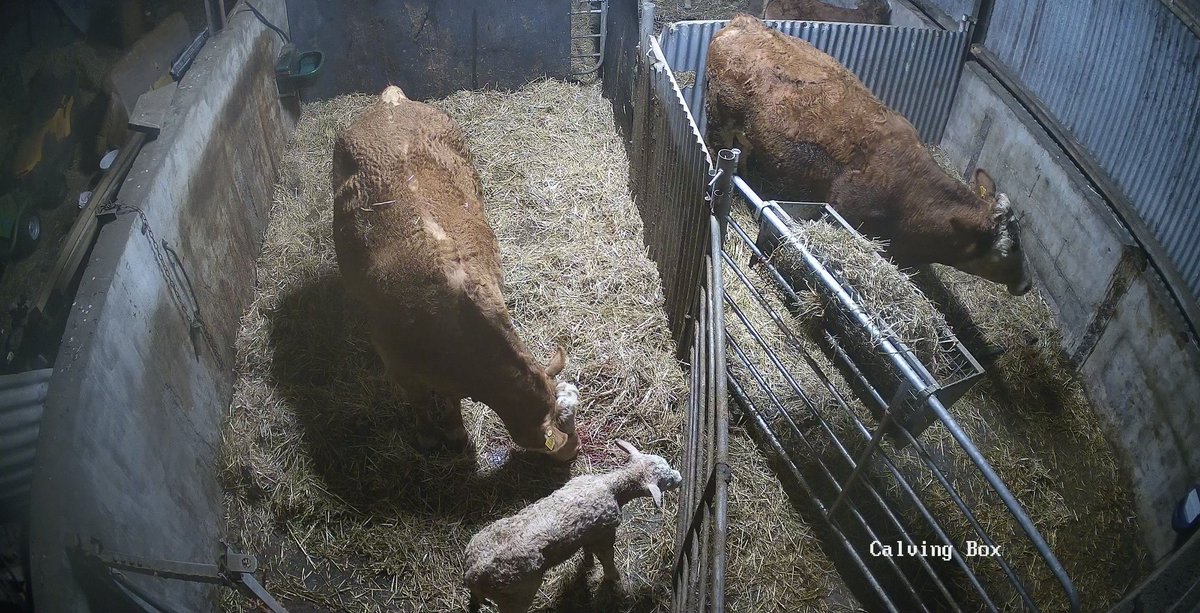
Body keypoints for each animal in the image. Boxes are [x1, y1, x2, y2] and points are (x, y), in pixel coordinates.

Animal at [332, 86, 580, 461]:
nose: (575, 451)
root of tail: (392, 100)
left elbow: (450, 399)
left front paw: (455, 430)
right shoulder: (399, 366)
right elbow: (420, 403)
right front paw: (428, 436)